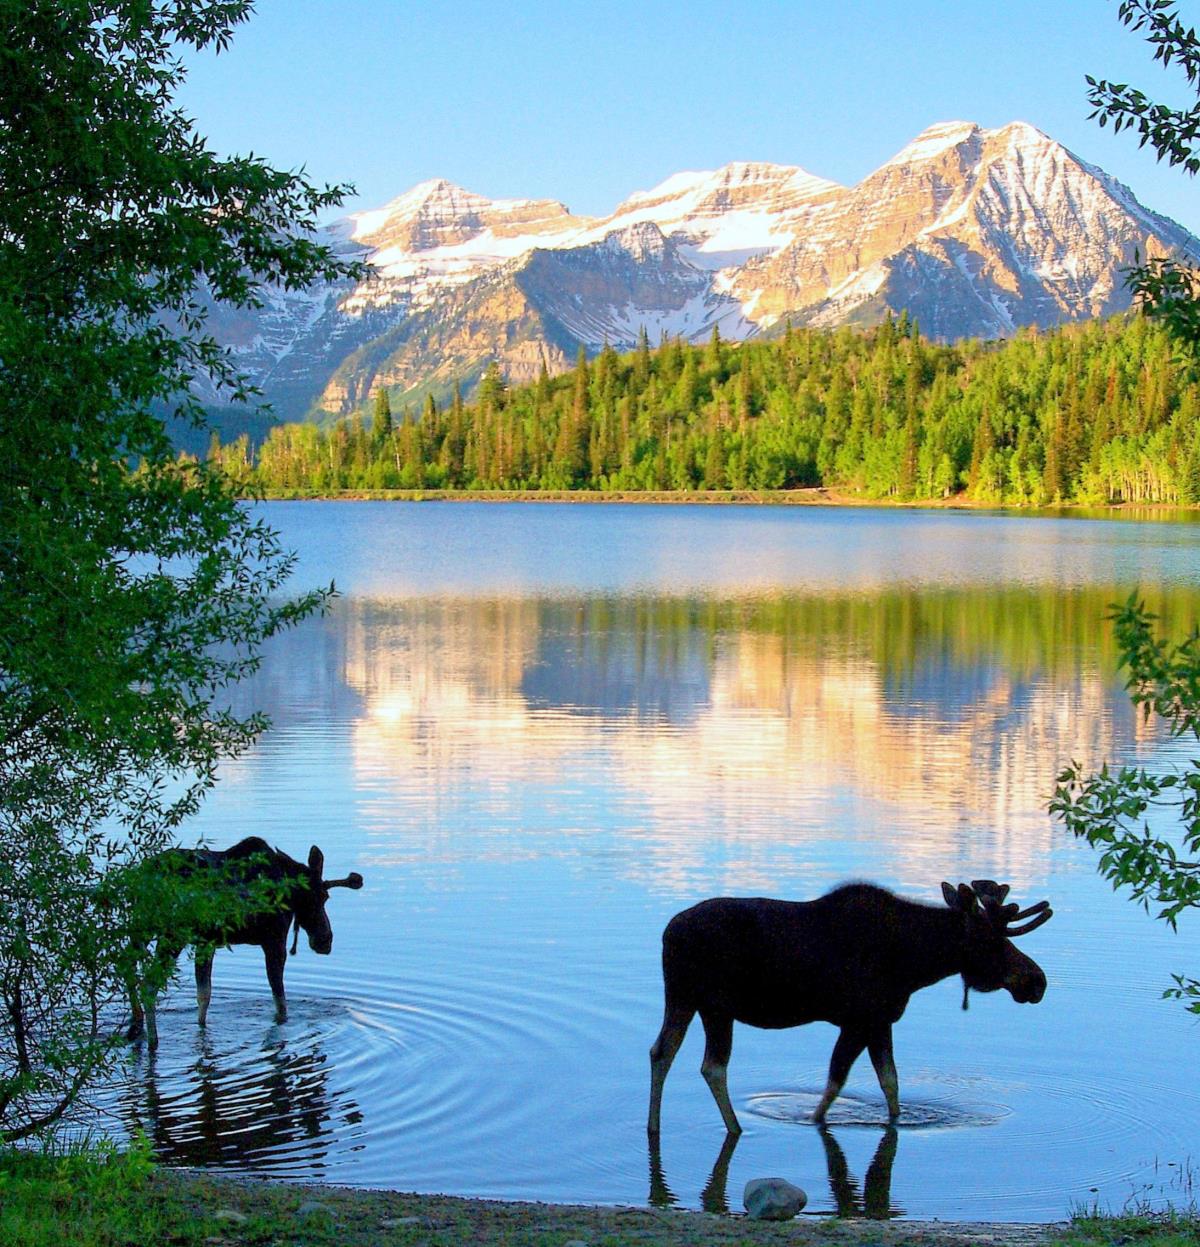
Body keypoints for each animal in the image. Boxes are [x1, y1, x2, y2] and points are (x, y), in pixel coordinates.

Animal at [125, 832, 364, 1047]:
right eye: (323, 897)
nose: (325, 940)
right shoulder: (274, 941)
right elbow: (280, 1003)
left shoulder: (206, 943)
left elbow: (204, 996)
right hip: (172, 936)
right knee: (148, 983)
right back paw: (152, 1040)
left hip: (141, 929)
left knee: (127, 967)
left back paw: (136, 1026)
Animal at [643, 877, 1047, 1142]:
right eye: (991, 941)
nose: (1036, 981)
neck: (916, 963)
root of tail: (666, 934)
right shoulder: (858, 1020)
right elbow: (837, 1081)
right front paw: (814, 1120)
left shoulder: (880, 1021)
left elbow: (890, 1082)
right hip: (714, 1005)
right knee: (712, 1065)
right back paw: (734, 1127)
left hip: (683, 998)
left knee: (662, 1051)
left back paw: (654, 1124)